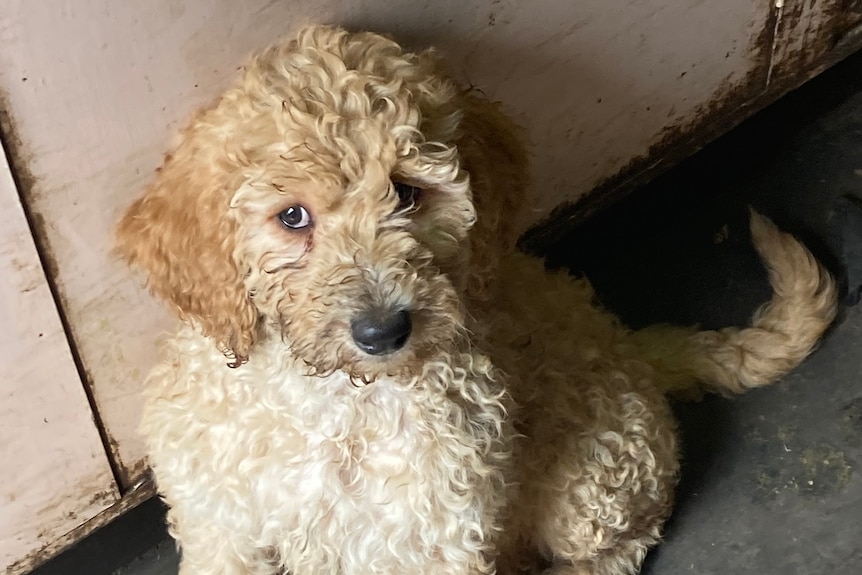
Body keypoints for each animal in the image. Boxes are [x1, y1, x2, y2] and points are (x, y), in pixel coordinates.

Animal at [115, 23, 836, 575]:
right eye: (292, 217)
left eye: (407, 193)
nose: (383, 331)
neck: (333, 400)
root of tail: (627, 343)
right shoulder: (223, 523)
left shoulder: (430, 535)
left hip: (592, 484)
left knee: (623, 540)